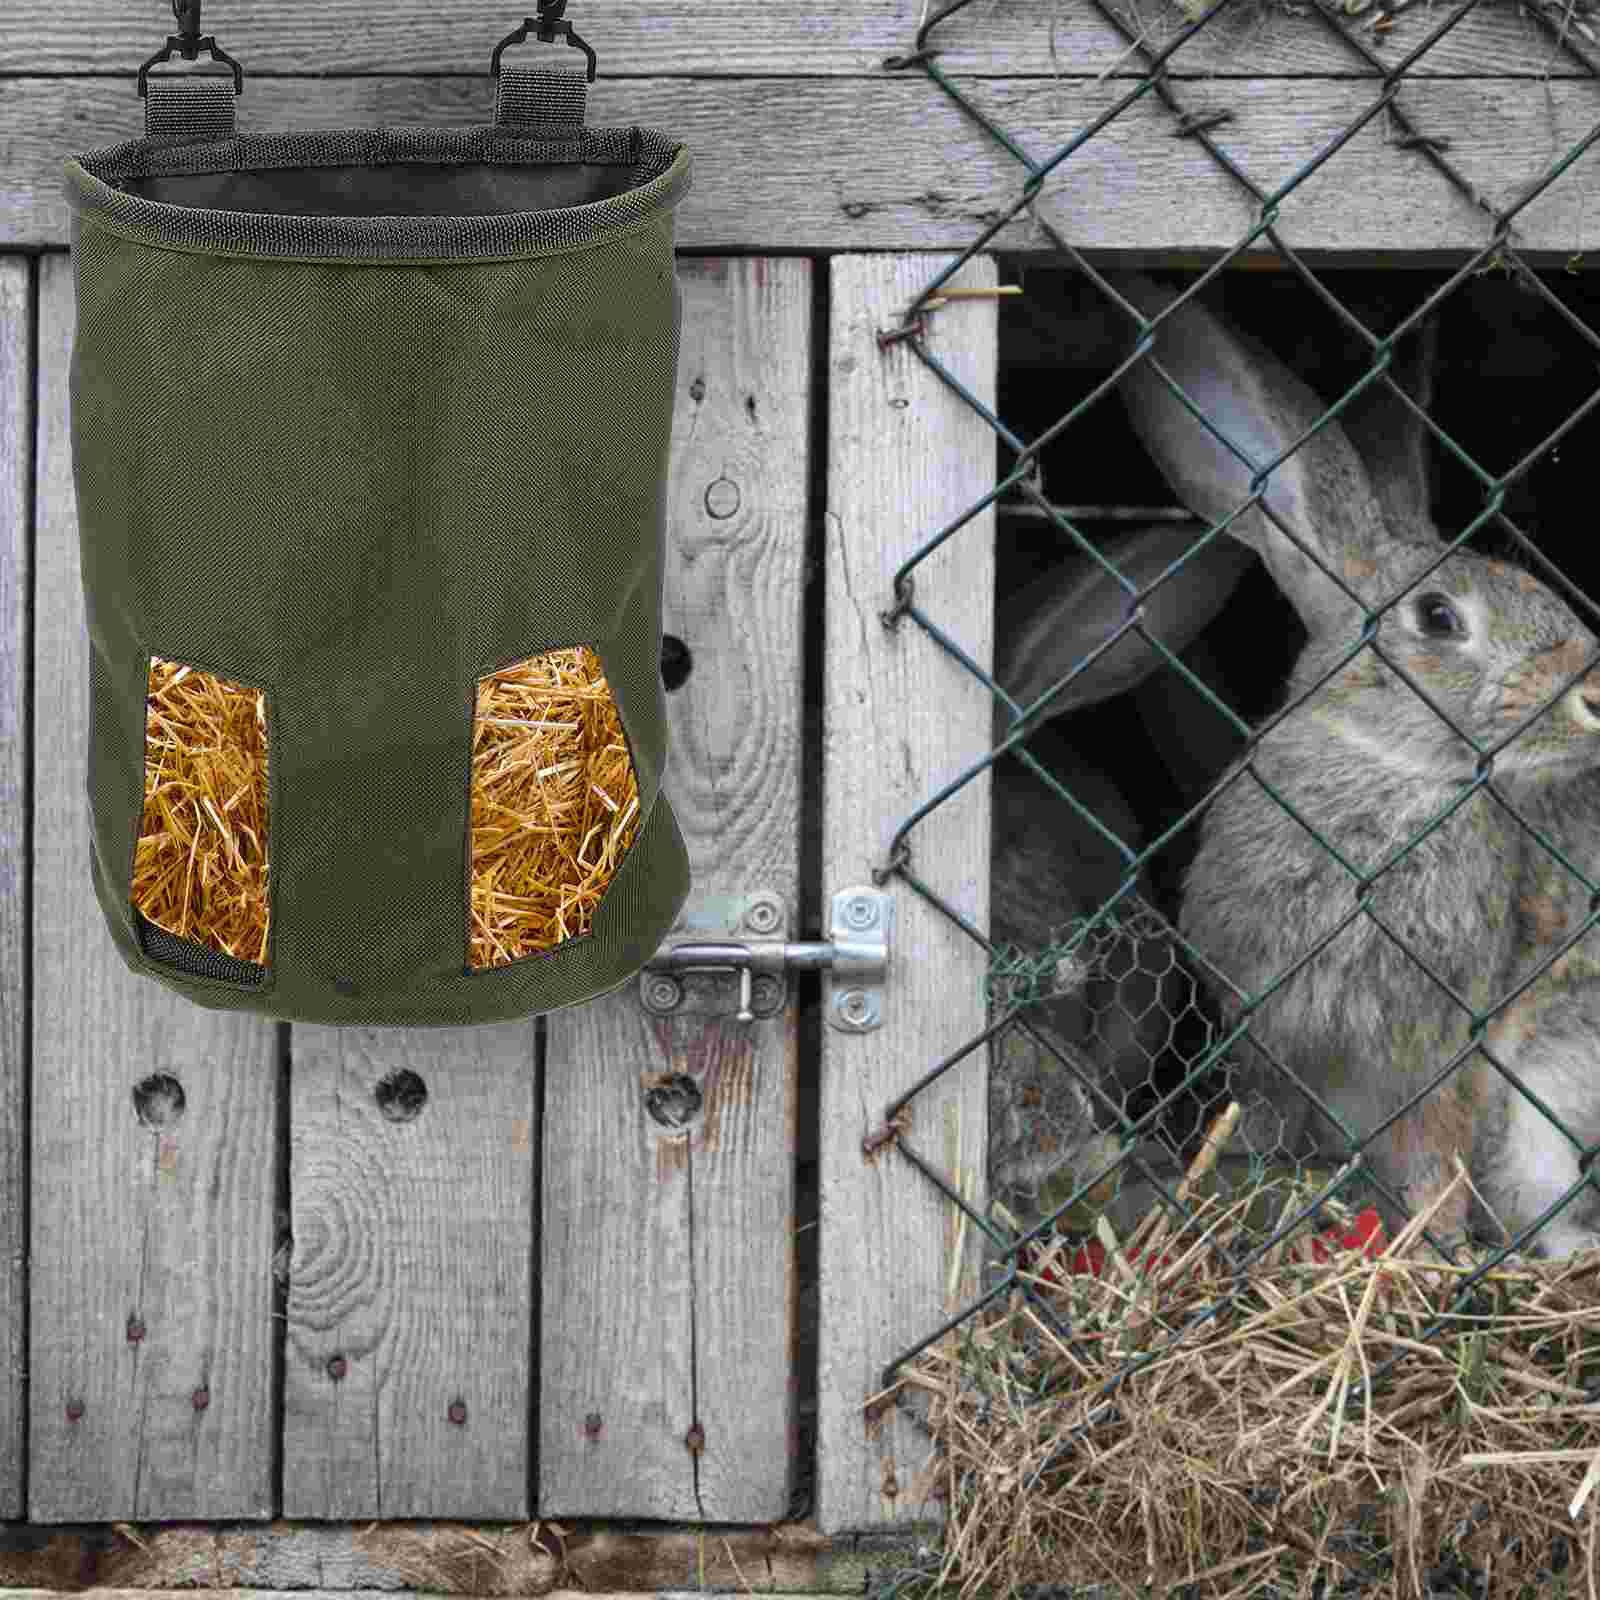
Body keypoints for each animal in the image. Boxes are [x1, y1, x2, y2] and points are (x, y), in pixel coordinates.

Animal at [1102, 269, 1600, 1258]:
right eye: (1438, 619)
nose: (1593, 689)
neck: (1388, 772)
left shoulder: (1452, 1052)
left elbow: (1441, 1157)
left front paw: (1433, 1249)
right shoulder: (1275, 1047)